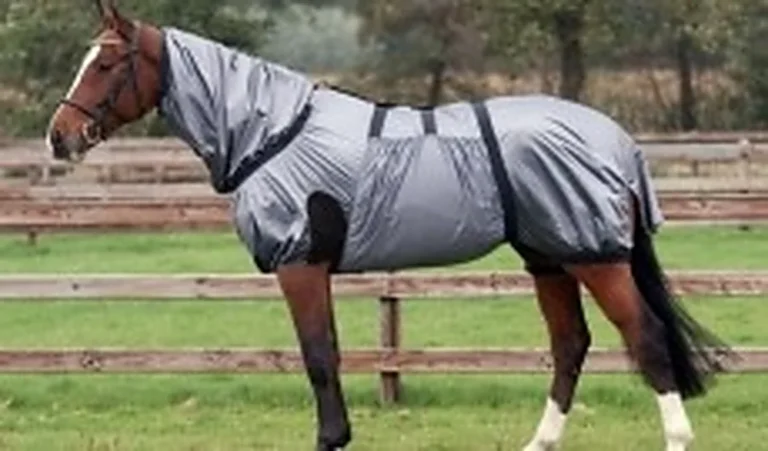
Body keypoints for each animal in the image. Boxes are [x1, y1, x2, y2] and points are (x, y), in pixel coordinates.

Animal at [46, 2, 733, 450]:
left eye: (105, 65)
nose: (59, 138)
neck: (272, 133)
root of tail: (615, 139)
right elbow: (328, 353)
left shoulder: (300, 264)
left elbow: (318, 357)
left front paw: (331, 439)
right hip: (551, 256)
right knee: (571, 346)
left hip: (594, 256)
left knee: (646, 339)